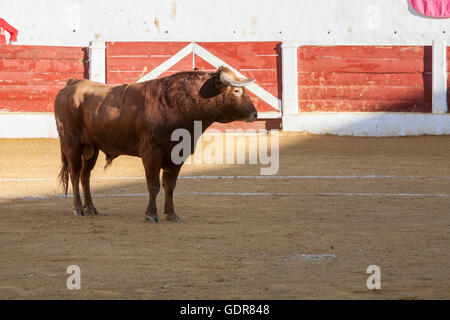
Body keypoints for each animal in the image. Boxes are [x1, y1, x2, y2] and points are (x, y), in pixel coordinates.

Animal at [53, 67, 256, 222]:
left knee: (85, 175)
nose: (255, 114)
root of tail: (72, 84)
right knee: (74, 173)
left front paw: (171, 215)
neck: (177, 105)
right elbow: (154, 185)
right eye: (237, 91)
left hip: (92, 148)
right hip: (71, 143)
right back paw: (78, 208)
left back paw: (91, 208)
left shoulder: (177, 155)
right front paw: (151, 215)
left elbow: (170, 186)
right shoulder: (151, 154)